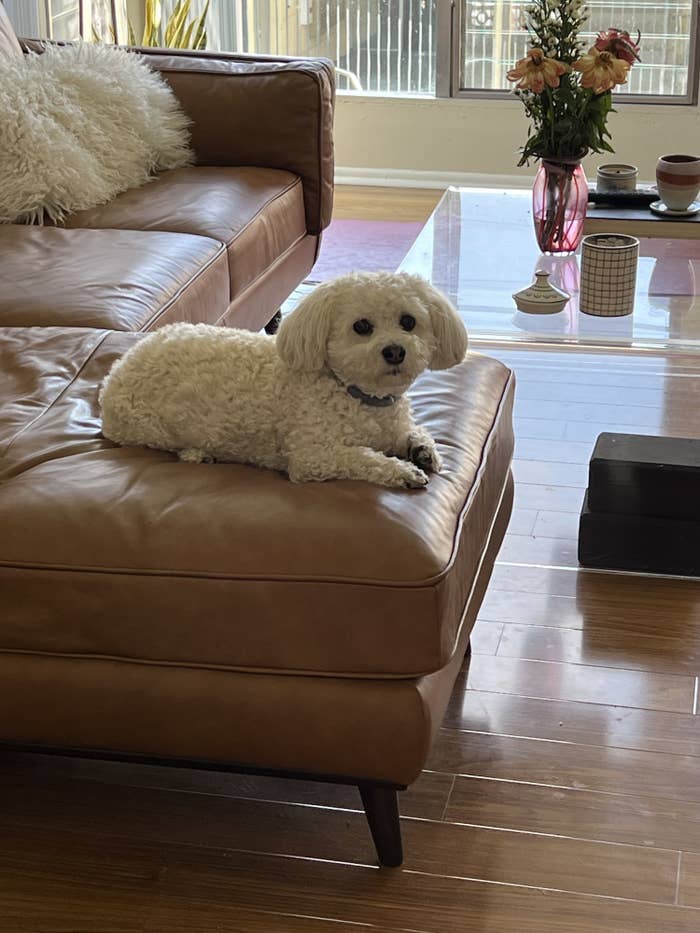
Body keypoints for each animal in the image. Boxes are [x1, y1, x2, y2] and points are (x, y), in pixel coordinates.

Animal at [98, 270, 468, 488]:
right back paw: (198, 454)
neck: (356, 393)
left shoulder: (392, 426)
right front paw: (402, 471)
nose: (394, 351)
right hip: (146, 427)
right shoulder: (314, 456)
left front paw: (422, 449)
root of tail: (116, 370)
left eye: (408, 322)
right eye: (362, 326)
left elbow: (413, 433)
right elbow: (362, 457)